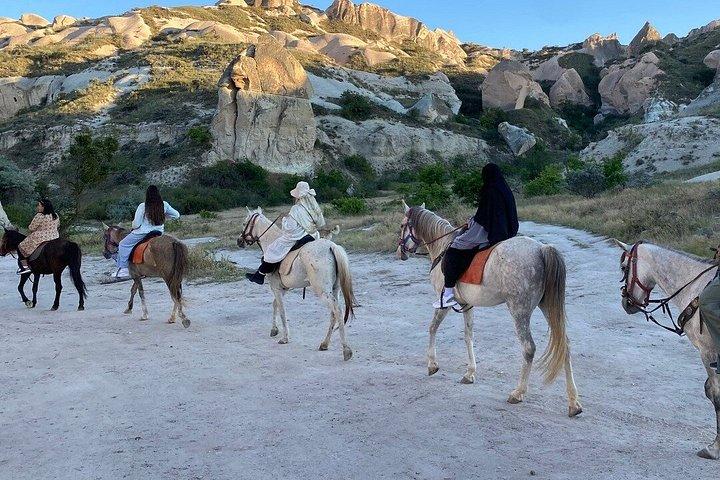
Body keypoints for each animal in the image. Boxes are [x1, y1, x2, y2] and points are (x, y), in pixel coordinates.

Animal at [237, 208, 356, 361]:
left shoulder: (276, 288)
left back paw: (346, 350)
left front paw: (285, 338)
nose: (239, 241)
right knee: (333, 313)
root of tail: (331, 246)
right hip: (334, 290)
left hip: (322, 291)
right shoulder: (282, 289)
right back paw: (324, 344)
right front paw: (274, 330)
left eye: (244, 223)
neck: (271, 240)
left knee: (337, 311)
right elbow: (275, 305)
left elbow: (282, 310)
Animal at [397, 202, 582, 417]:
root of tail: (542, 249)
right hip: (547, 307)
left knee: (529, 348)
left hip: (519, 310)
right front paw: (470, 373)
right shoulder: (467, 305)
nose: (400, 252)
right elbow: (468, 336)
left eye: (402, 225)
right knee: (564, 345)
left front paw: (432, 365)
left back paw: (518, 393)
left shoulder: (443, 303)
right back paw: (573, 403)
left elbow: (432, 328)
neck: (442, 246)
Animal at [613, 239, 720, 459]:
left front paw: (714, 448)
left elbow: (716, 394)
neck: (696, 287)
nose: (626, 303)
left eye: (624, 268)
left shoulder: (708, 353)